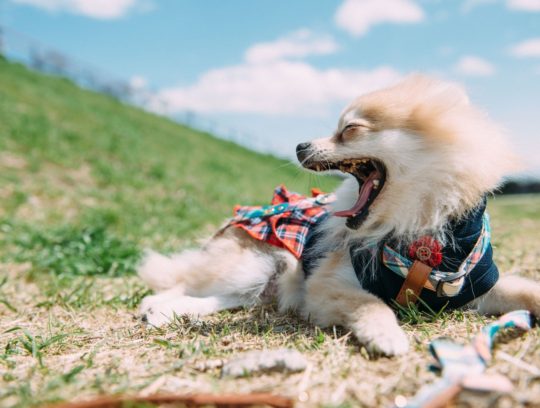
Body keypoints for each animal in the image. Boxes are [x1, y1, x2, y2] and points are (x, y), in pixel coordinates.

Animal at [138, 75, 540, 356]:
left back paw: (167, 313)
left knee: (214, 297)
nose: (299, 145)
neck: (417, 227)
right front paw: (386, 335)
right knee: (183, 280)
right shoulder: (326, 285)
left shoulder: (472, 285)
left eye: (350, 129)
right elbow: (372, 303)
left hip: (258, 286)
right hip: (256, 265)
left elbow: (525, 290)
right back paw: (153, 305)